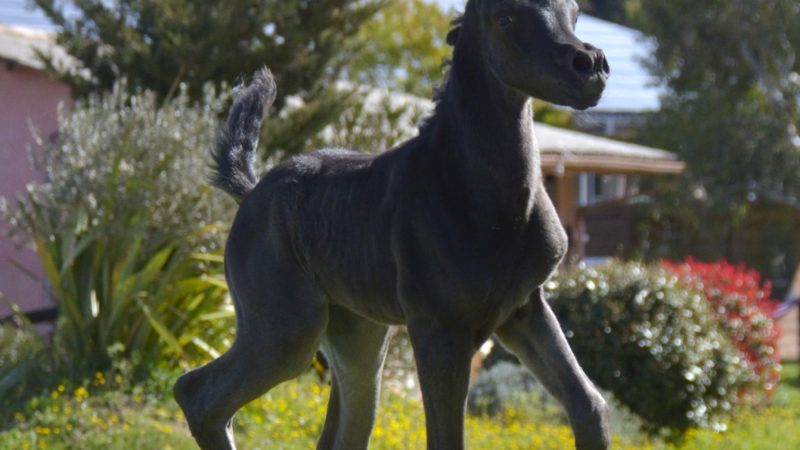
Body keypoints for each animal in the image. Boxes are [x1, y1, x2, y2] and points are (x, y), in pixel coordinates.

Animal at [174, 0, 611, 449]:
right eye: (505, 18)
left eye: (573, 12)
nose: (590, 65)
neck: (479, 195)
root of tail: (251, 191)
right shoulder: (439, 330)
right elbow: (445, 437)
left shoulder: (523, 309)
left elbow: (589, 405)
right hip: (285, 330)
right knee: (196, 394)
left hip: (358, 335)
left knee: (344, 427)